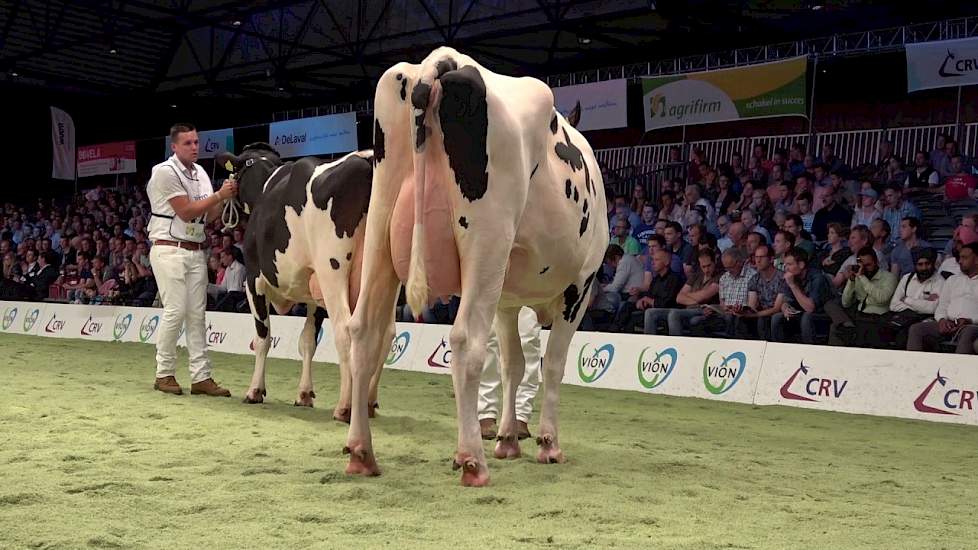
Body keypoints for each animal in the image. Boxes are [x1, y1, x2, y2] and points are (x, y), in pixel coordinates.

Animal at [215, 144, 386, 420]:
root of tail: (366, 160)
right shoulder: (313, 296)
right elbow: (307, 341)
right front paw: (304, 394)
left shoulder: (253, 280)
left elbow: (262, 338)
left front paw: (255, 390)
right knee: (386, 334)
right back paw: (368, 403)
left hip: (332, 271)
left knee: (346, 330)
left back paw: (345, 407)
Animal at [342, 48, 604, 488]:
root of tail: (442, 60)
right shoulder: (580, 287)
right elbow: (552, 365)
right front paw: (547, 444)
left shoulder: (507, 300)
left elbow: (514, 364)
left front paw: (509, 439)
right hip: (487, 241)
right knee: (466, 341)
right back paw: (471, 460)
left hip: (380, 227)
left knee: (362, 330)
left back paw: (361, 452)